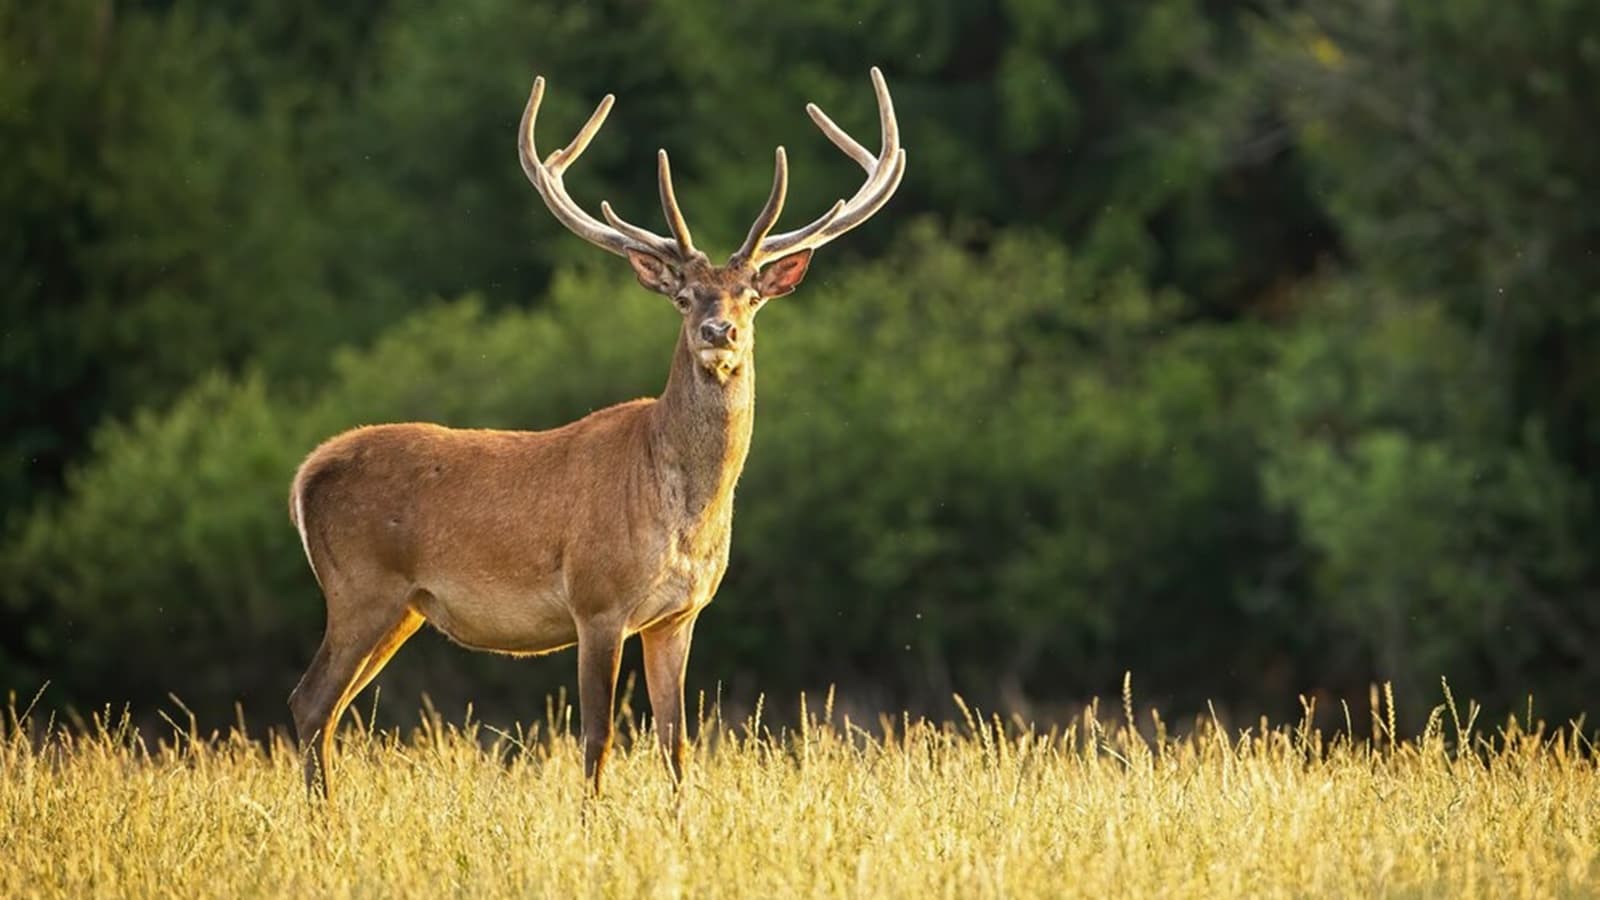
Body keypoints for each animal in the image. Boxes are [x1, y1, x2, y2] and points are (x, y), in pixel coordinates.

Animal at [286, 68, 905, 797]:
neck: (682, 513)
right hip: (361, 586)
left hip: (403, 606)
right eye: (684, 296)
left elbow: (676, 742)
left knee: (327, 708)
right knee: (309, 700)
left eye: (751, 295)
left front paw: (679, 815)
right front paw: (590, 817)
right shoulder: (597, 600)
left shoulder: (679, 614)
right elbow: (597, 738)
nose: (718, 332)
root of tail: (306, 475)